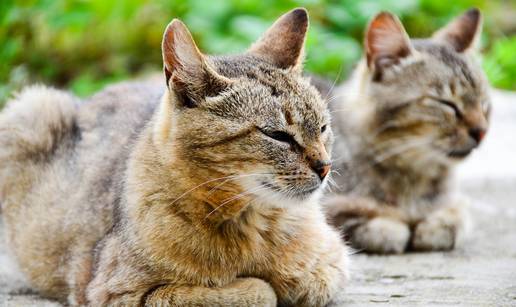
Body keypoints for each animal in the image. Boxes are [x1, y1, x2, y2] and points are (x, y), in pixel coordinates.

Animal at [0, 8, 348, 306]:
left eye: (322, 127)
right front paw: (260, 284)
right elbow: (257, 291)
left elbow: (307, 281)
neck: (250, 223)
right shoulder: (117, 292)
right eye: (277, 135)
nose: (325, 167)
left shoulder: (331, 263)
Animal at [324, 9, 490, 255]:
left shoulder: (454, 203)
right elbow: (361, 221)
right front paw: (392, 227)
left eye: (483, 103)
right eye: (446, 104)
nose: (481, 132)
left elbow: (456, 218)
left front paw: (434, 226)